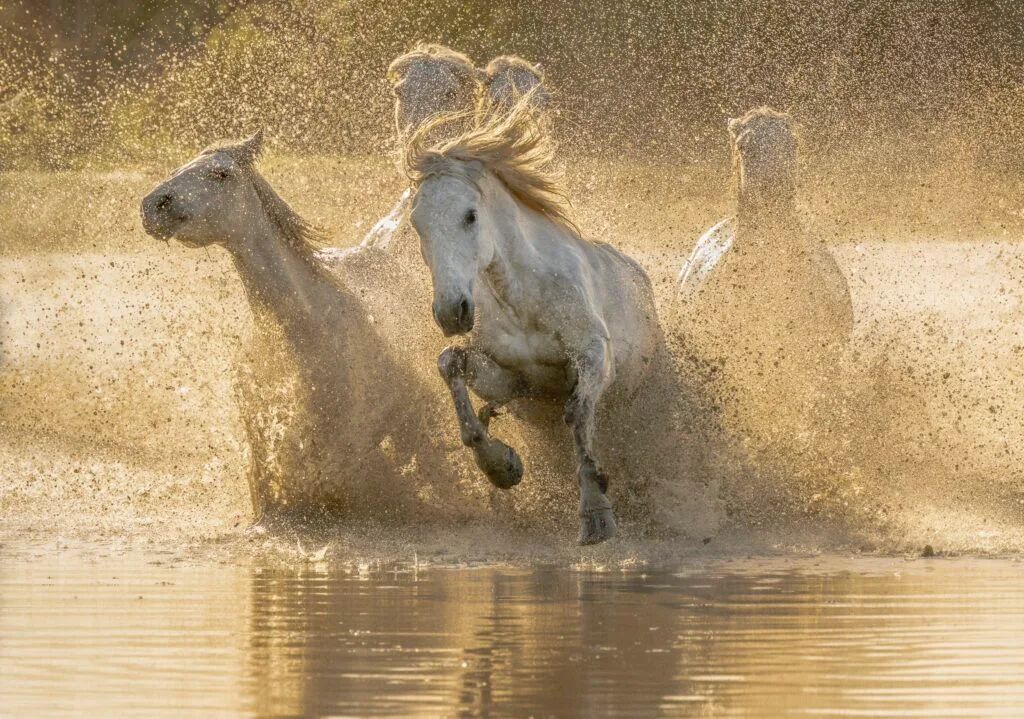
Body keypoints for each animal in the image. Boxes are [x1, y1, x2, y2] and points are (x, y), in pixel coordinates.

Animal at [403, 95, 709, 545]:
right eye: (417, 223)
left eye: (470, 215)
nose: (451, 311)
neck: (525, 299)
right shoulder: (518, 382)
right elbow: (450, 364)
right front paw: (501, 466)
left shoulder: (594, 356)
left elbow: (577, 414)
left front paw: (596, 515)